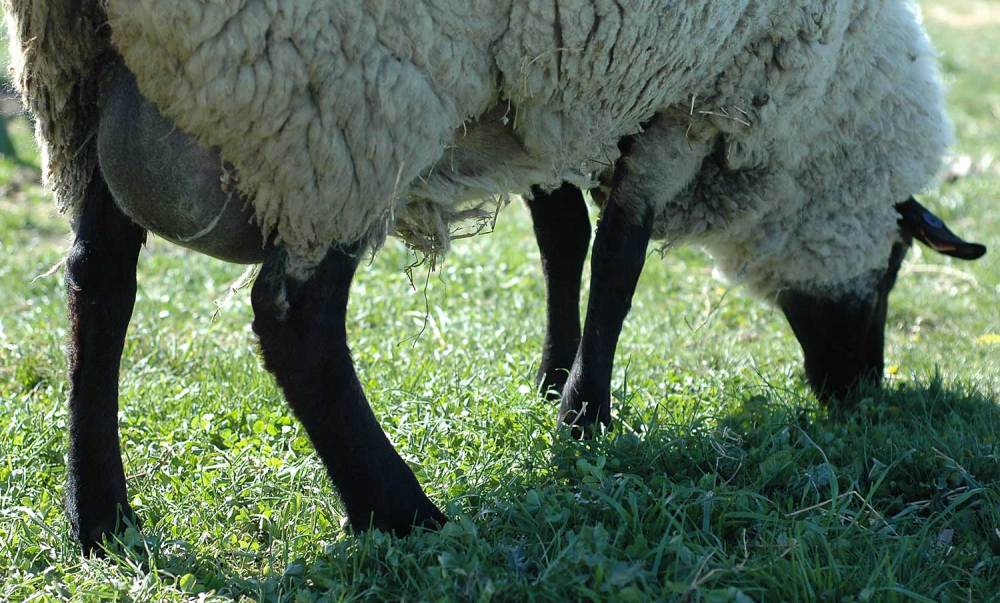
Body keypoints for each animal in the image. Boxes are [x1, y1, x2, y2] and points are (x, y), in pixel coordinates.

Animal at [3, 0, 987, 554]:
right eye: (896, 260)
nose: (859, 389)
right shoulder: (683, 93)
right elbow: (620, 255)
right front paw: (586, 413)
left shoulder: (558, 85)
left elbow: (564, 233)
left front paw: (555, 377)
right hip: (334, 96)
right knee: (296, 322)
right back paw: (401, 512)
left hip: (89, 81)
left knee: (99, 284)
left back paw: (102, 516)